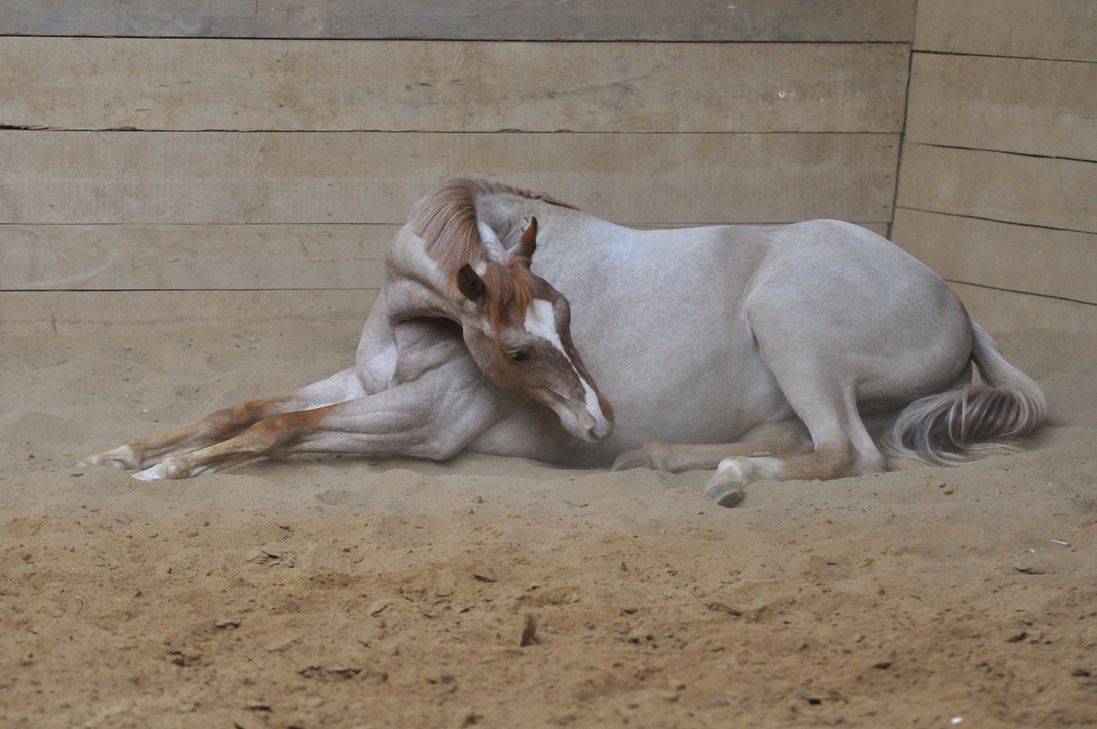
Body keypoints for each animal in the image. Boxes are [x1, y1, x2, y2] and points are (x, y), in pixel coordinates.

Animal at [85, 177, 1044, 506]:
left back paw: (726, 475)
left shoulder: (420, 422)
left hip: (795, 329)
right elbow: (244, 406)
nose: (594, 420)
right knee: (802, 440)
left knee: (848, 454)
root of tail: (952, 298)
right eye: (519, 348)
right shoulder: (365, 382)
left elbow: (279, 429)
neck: (412, 324)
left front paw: (172, 470)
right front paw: (123, 451)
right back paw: (661, 458)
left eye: (572, 322)